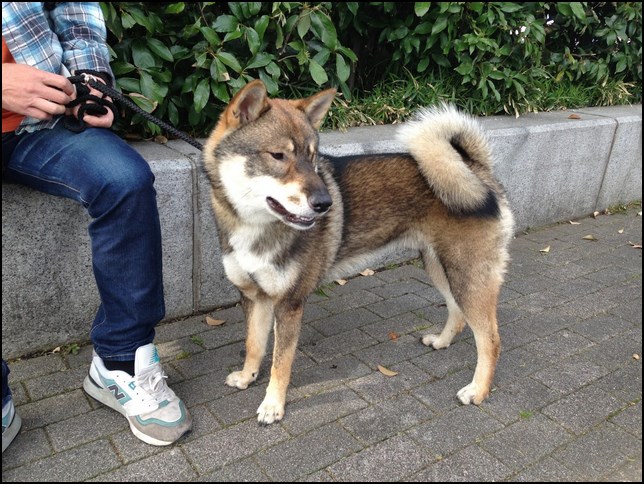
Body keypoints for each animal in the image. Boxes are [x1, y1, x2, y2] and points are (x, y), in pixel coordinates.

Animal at [204, 79, 516, 424]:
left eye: (312, 157)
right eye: (278, 156)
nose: (325, 204)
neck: (256, 225)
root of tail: (475, 168)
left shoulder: (289, 304)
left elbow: (280, 363)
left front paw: (273, 404)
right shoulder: (254, 297)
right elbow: (254, 346)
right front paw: (247, 377)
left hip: (468, 276)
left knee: (490, 340)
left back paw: (478, 390)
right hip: (440, 268)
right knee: (457, 313)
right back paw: (442, 341)